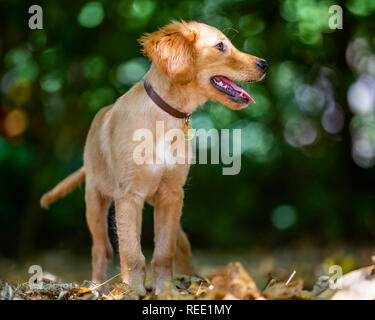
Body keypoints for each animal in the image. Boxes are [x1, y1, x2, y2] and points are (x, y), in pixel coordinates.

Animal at [41, 20, 268, 296]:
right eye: (220, 46)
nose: (264, 64)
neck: (166, 117)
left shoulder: (172, 195)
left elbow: (163, 251)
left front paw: (167, 289)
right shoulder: (128, 196)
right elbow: (131, 251)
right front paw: (133, 291)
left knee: (181, 244)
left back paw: (191, 279)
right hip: (95, 199)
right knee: (102, 248)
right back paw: (95, 287)